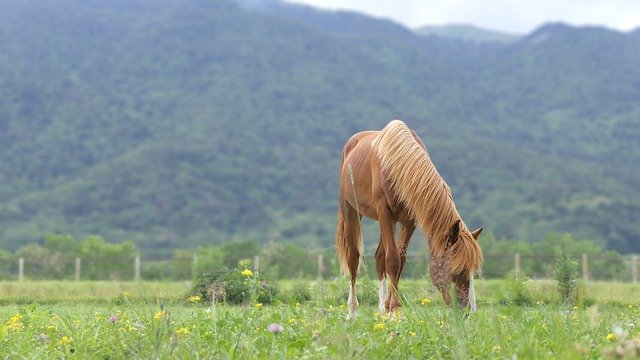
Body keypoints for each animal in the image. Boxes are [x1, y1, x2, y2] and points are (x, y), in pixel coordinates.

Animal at [338, 120, 482, 318]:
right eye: (457, 270)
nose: (468, 312)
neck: (399, 165)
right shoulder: (384, 212)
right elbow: (392, 260)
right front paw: (393, 311)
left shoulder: (409, 219)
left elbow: (400, 259)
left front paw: (391, 307)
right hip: (351, 209)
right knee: (353, 256)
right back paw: (352, 311)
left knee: (379, 256)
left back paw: (382, 308)